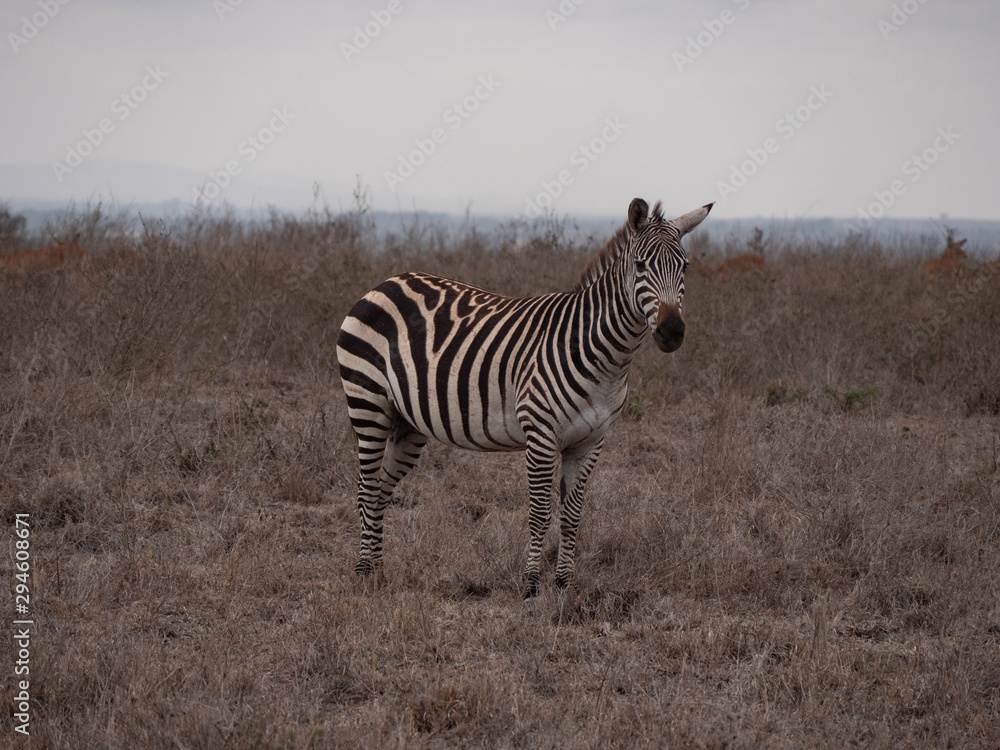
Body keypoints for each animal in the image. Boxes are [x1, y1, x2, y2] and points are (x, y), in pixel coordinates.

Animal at [336, 198, 712, 595]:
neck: (605, 358)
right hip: (368, 404)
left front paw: (563, 582)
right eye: (640, 265)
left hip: (408, 422)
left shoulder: (590, 441)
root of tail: (386, 282)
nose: (672, 332)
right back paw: (363, 571)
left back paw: (378, 571)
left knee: (381, 488)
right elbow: (539, 511)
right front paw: (531, 584)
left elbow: (573, 513)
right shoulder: (541, 434)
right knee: (365, 487)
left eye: (685, 266)